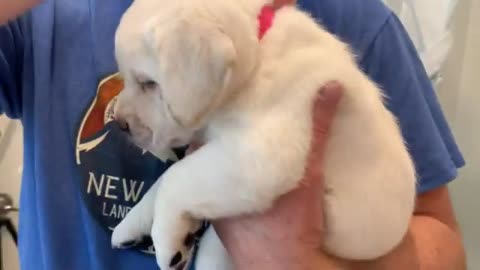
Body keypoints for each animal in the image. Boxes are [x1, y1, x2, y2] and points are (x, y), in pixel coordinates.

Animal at [111, 0, 416, 268]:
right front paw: (133, 223)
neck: (258, 55)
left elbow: (176, 177)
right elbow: (166, 179)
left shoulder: (259, 156)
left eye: (148, 83)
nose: (120, 124)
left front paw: (165, 237)